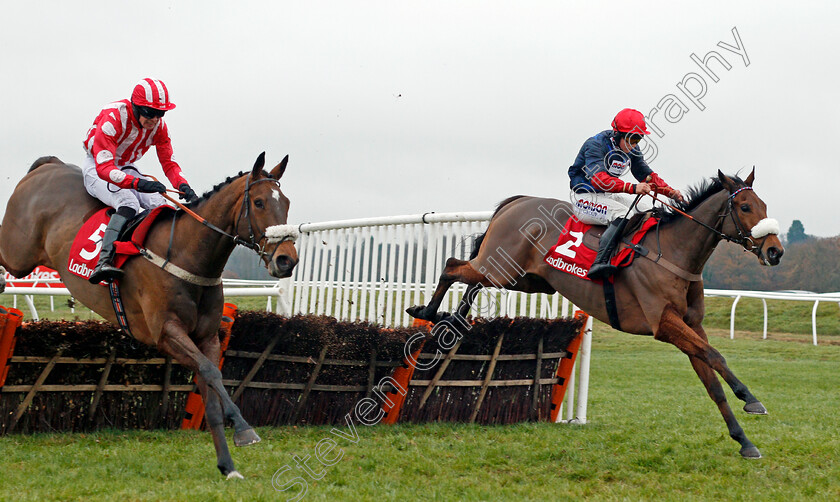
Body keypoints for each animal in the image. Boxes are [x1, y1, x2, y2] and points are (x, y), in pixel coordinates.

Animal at [0, 154, 300, 478]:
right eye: (258, 202)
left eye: (286, 202)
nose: (287, 260)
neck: (186, 254)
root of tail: (49, 166)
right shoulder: (165, 332)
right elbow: (210, 371)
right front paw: (244, 428)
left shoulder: (206, 337)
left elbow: (211, 384)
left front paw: (228, 465)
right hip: (18, 255)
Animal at [410, 170, 784, 458]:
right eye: (745, 206)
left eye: (765, 206)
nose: (775, 251)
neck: (674, 253)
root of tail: (516, 201)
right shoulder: (664, 325)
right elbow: (716, 355)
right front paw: (751, 399)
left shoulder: (691, 327)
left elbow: (712, 380)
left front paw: (744, 441)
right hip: (501, 269)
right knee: (452, 266)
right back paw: (426, 310)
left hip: (526, 280)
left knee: (470, 279)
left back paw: (453, 320)